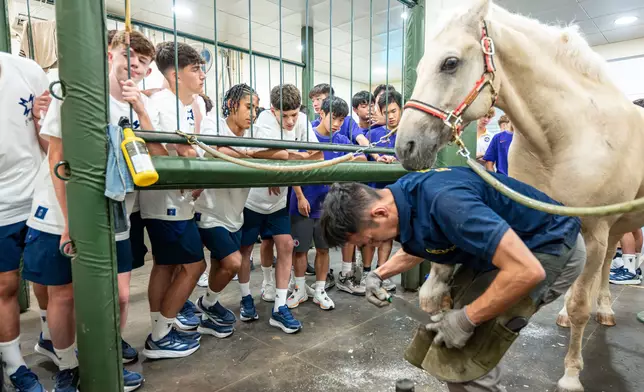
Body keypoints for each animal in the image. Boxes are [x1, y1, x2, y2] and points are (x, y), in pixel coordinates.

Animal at [398, 0, 644, 392]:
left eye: (450, 63)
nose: (405, 146)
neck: (568, 135)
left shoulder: (595, 231)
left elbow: (581, 305)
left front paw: (571, 375)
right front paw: (435, 290)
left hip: (615, 227)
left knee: (600, 272)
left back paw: (601, 309)